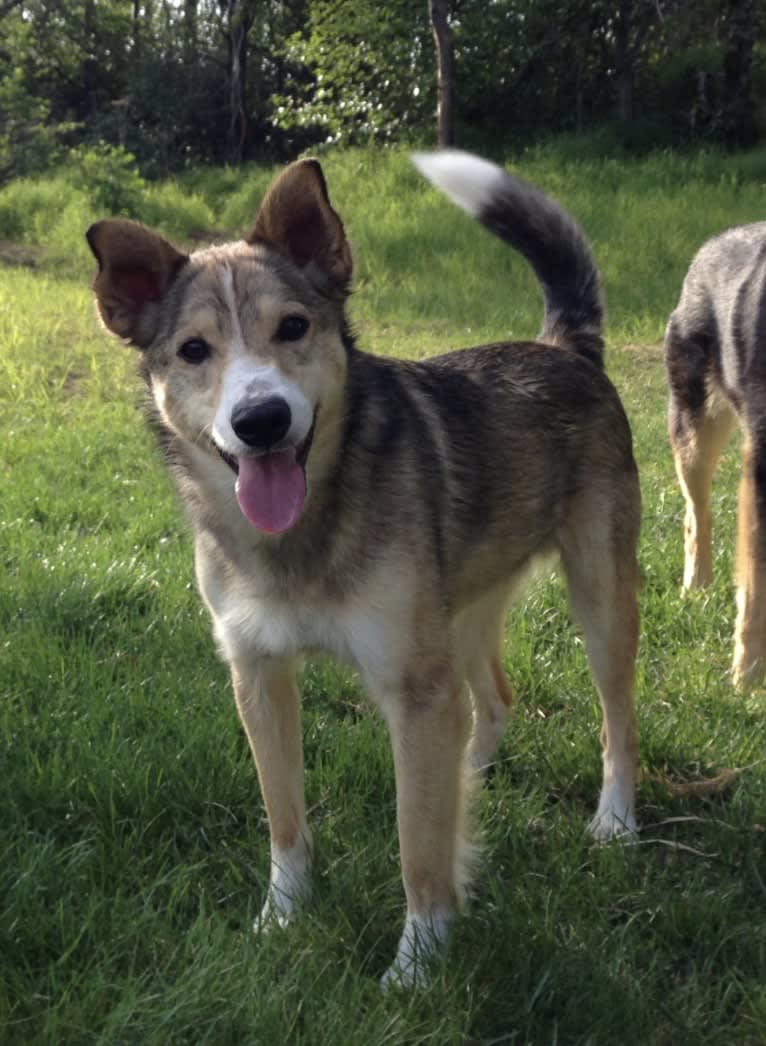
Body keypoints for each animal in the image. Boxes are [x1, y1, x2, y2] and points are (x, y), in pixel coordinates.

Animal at [86, 151, 644, 983]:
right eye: (193, 350)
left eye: (293, 327)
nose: (261, 420)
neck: (301, 536)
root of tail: (563, 347)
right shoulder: (256, 674)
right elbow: (284, 818)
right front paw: (282, 919)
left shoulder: (414, 688)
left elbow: (419, 844)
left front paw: (416, 966)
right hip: (461, 609)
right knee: (495, 698)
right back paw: (472, 771)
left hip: (600, 601)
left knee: (618, 720)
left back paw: (615, 819)